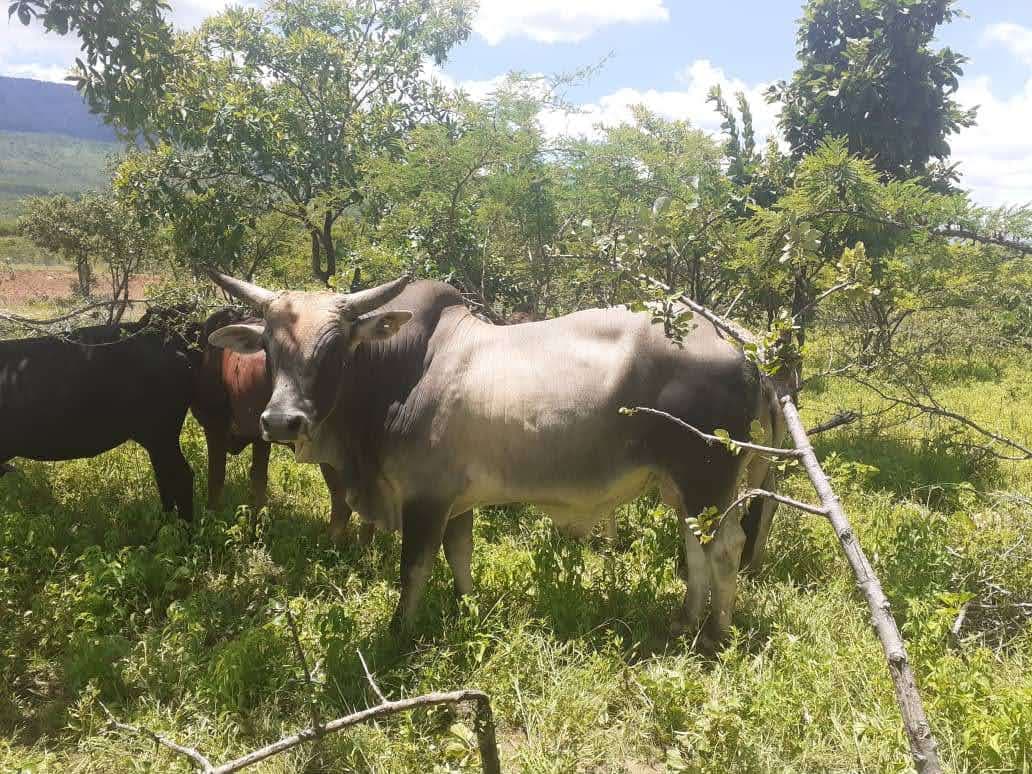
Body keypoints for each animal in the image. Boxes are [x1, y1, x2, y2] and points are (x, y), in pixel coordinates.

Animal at [190, 307, 361, 540]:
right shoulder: (259, 435)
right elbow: (258, 478)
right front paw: (258, 524)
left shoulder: (214, 426)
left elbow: (216, 476)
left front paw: (212, 519)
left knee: (342, 497)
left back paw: (331, 541)